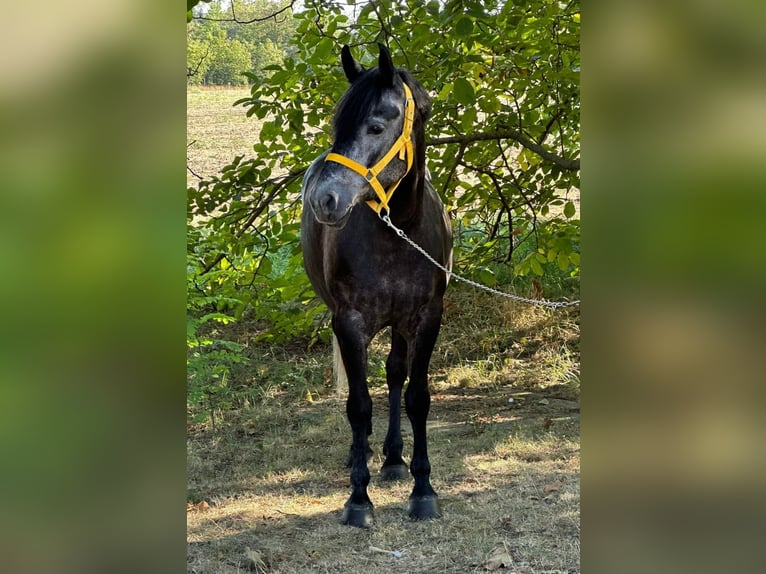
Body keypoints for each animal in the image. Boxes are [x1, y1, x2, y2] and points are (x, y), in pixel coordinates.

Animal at [302, 44, 456, 532]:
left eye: (375, 125)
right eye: (338, 125)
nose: (325, 200)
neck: (399, 229)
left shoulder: (426, 319)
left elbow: (417, 397)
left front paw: (423, 490)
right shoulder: (349, 324)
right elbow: (358, 405)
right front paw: (358, 498)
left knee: (393, 374)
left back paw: (392, 459)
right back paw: (364, 454)